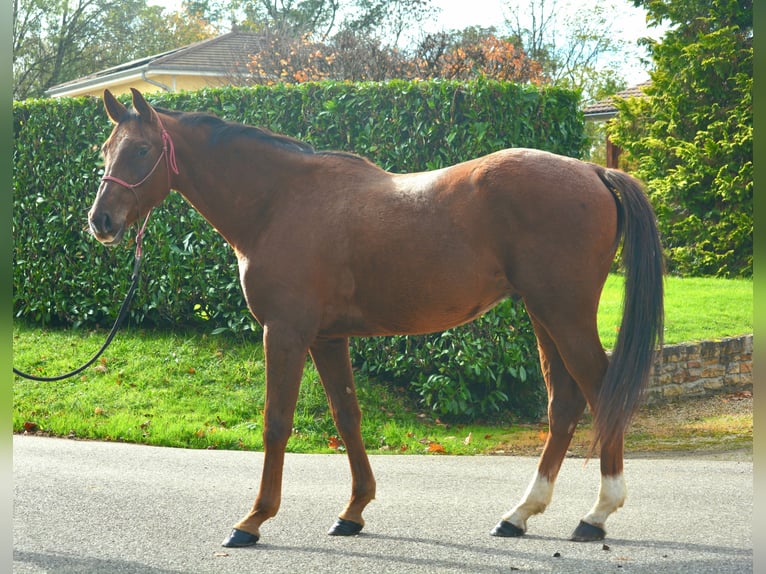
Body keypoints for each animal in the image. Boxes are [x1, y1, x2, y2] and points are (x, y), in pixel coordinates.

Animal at [89, 88, 664, 548]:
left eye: (141, 150)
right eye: (105, 151)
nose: (102, 221)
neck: (279, 201)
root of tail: (593, 170)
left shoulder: (285, 334)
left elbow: (277, 422)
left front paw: (253, 520)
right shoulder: (327, 338)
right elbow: (348, 416)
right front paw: (353, 511)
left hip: (564, 313)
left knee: (599, 390)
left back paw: (597, 513)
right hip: (543, 315)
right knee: (564, 401)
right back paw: (520, 514)